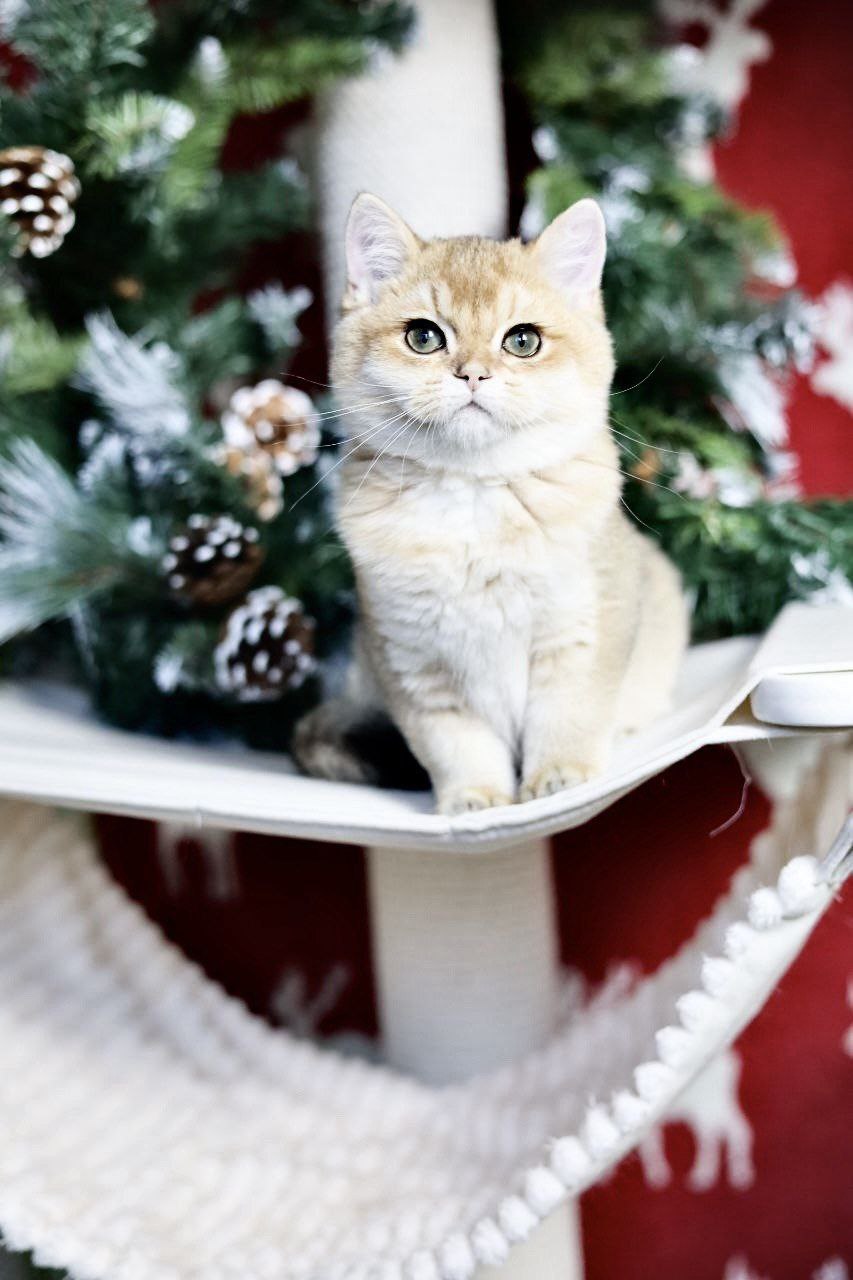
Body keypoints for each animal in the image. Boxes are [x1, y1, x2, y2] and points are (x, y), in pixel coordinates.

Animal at [292, 193, 688, 814]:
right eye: (424, 337)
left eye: (522, 341)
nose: (473, 374)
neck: (473, 498)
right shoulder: (413, 665)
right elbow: (457, 745)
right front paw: (475, 800)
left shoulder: (582, 633)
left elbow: (567, 718)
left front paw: (558, 777)